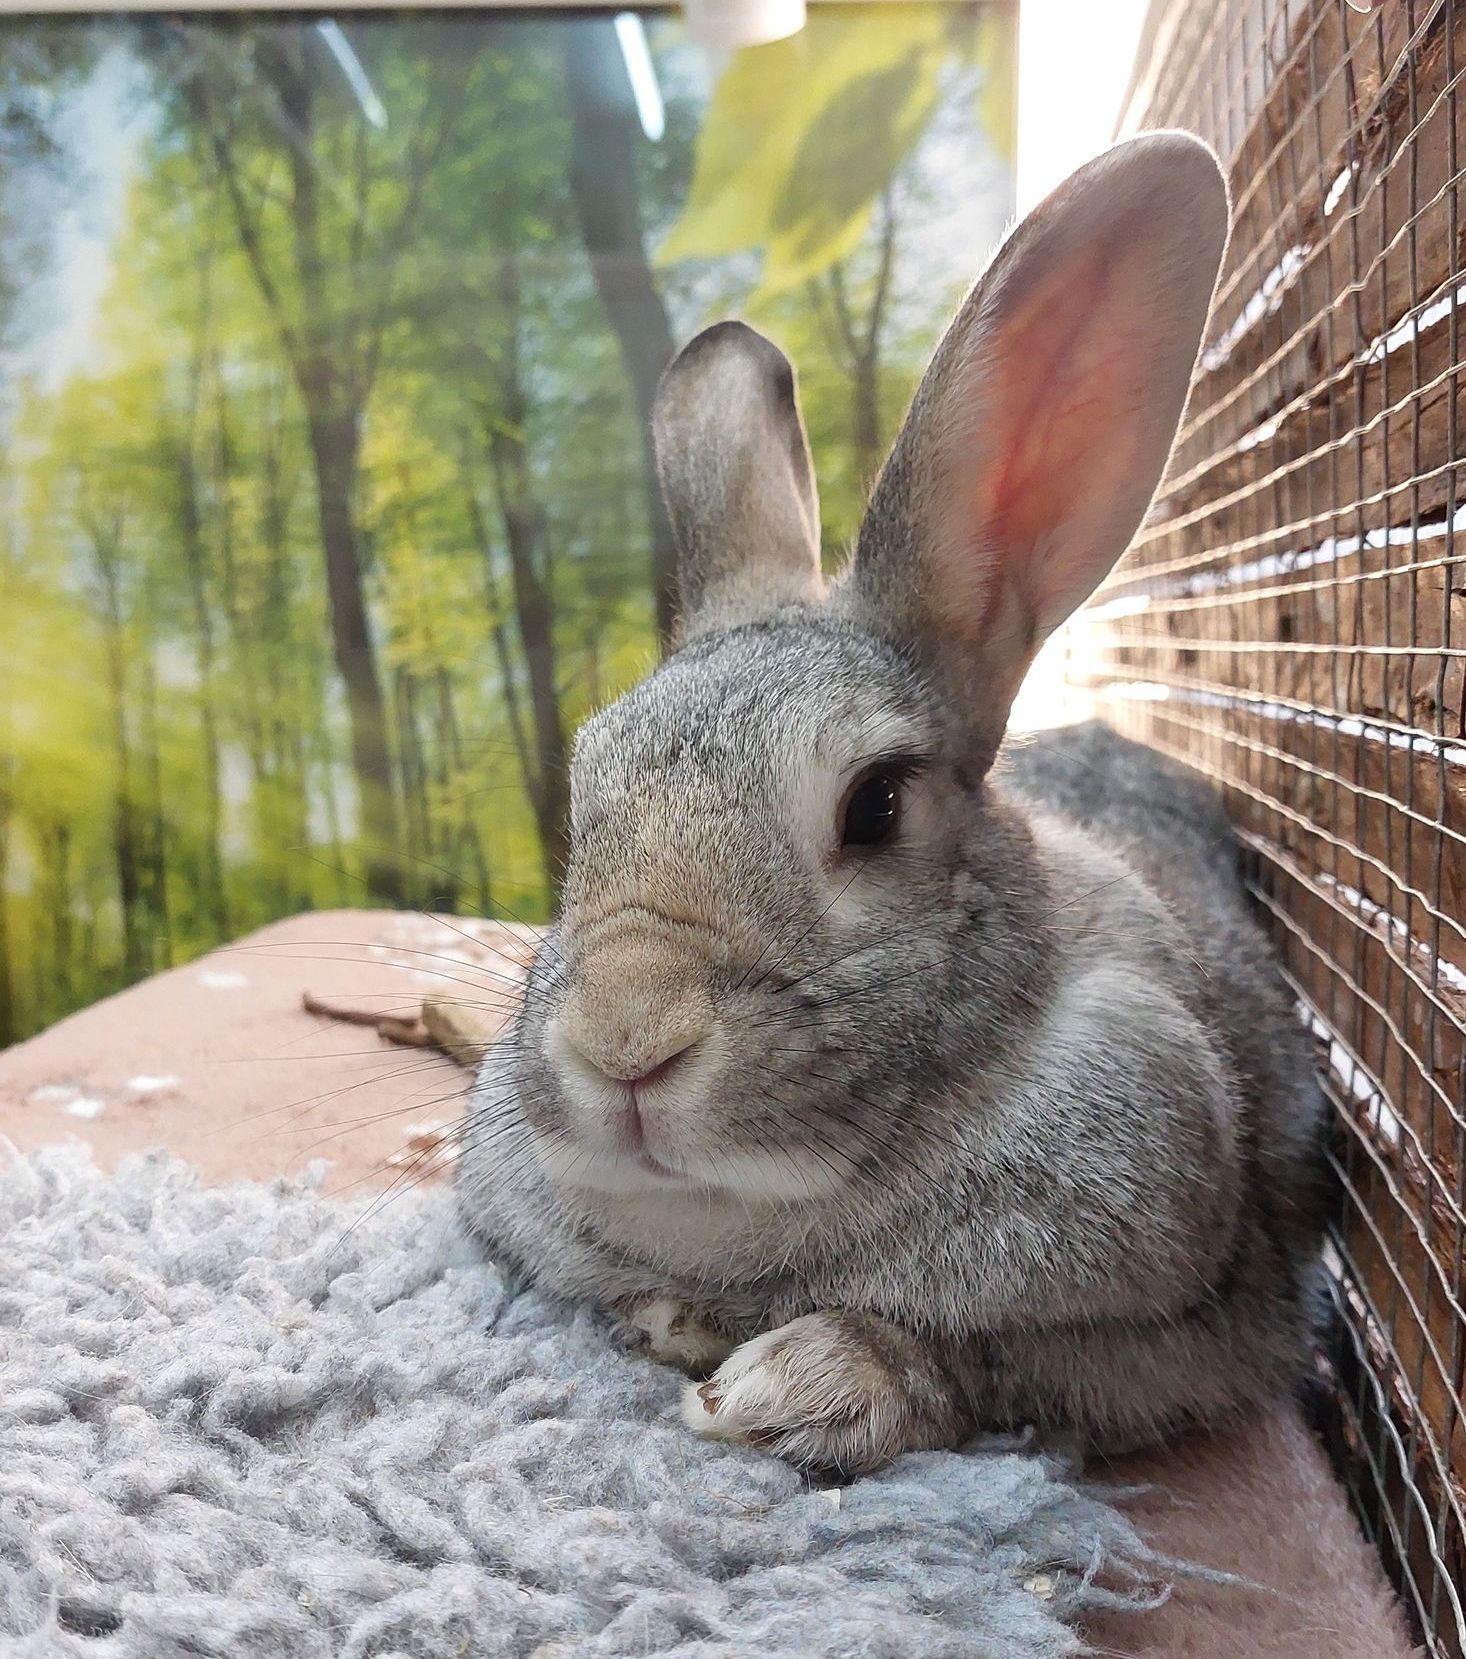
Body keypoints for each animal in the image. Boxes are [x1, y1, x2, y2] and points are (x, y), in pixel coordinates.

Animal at [457, 130, 1328, 1476]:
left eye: (872, 806)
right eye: (583, 797)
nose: (623, 1045)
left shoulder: (1186, 1320)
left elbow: (1000, 1367)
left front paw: (797, 1384)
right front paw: (672, 1320)